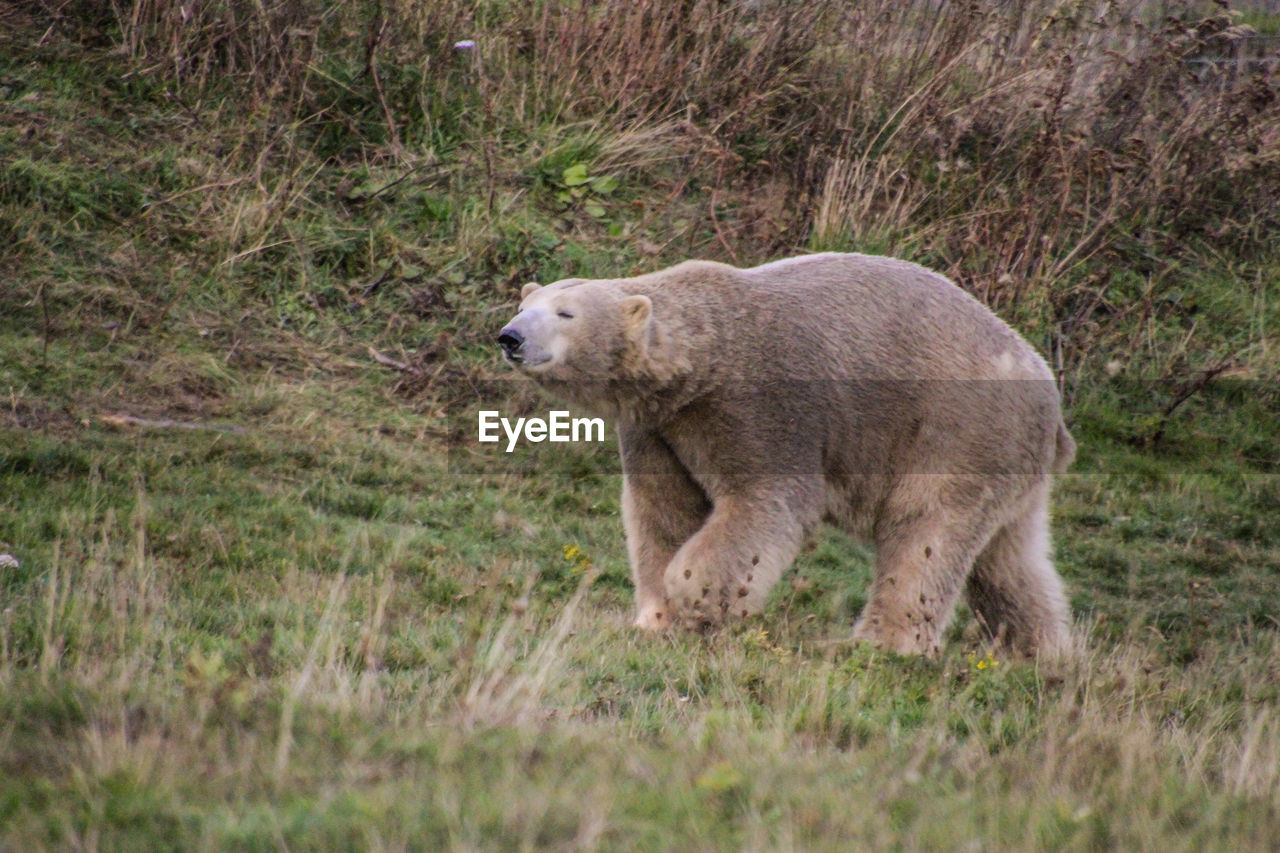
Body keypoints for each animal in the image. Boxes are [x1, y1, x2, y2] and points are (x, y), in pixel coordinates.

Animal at [494, 249, 1075, 653]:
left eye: (565, 313)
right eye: (524, 305)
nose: (509, 337)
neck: (704, 353)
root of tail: (1050, 399)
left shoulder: (760, 404)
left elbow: (765, 503)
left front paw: (697, 598)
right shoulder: (658, 426)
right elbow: (662, 510)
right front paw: (657, 618)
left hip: (960, 428)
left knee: (926, 535)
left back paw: (881, 644)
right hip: (1007, 456)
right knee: (1008, 561)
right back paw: (1042, 652)